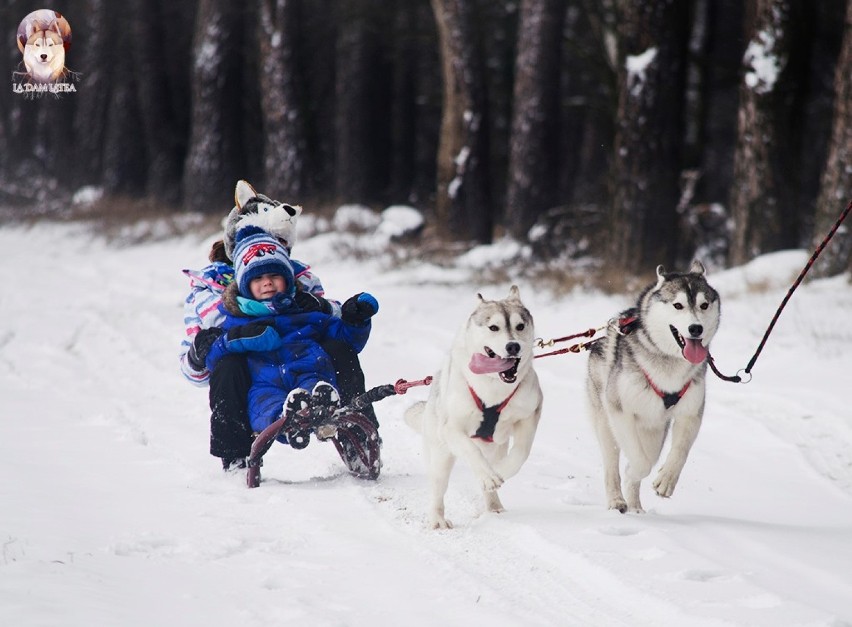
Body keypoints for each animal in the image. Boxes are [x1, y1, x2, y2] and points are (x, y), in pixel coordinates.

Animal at [404, 286, 540, 528]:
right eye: (493, 327)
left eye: (520, 326)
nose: (513, 346)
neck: (493, 387)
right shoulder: (452, 428)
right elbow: (471, 450)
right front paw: (488, 475)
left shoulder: (529, 415)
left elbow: (521, 454)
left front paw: (500, 472)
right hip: (440, 456)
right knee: (438, 489)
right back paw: (438, 520)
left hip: (496, 447)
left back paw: (494, 506)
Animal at [588, 262, 724, 512]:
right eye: (678, 305)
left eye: (704, 305)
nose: (696, 328)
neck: (669, 365)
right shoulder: (619, 410)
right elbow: (640, 462)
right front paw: (634, 471)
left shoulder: (691, 413)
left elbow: (680, 450)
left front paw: (666, 480)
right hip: (605, 422)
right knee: (612, 463)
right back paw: (616, 500)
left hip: (654, 432)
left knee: (649, 454)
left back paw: (636, 507)